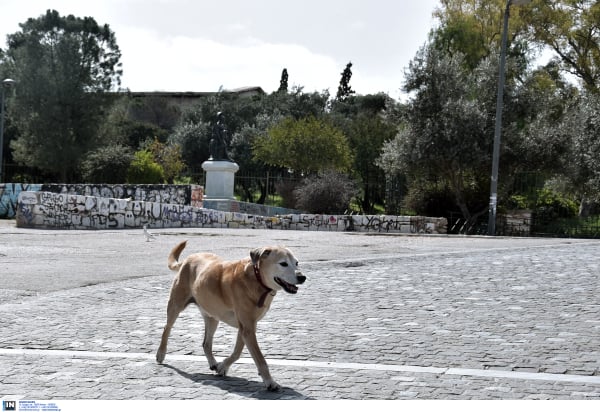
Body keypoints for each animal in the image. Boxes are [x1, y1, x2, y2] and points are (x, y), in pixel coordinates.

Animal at [156, 240, 304, 392]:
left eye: (296, 263)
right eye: (283, 263)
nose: (302, 277)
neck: (257, 279)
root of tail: (188, 259)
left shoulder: (246, 327)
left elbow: (237, 352)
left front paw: (223, 366)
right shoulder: (247, 328)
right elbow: (260, 359)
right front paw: (270, 382)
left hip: (212, 317)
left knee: (206, 343)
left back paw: (213, 363)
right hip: (175, 305)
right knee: (166, 328)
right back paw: (161, 353)